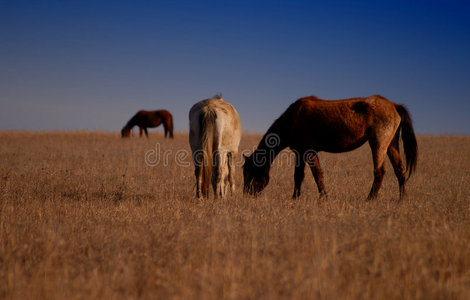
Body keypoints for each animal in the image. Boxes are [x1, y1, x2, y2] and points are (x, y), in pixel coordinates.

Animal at [244, 95, 416, 200]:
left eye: (251, 171)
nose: (247, 193)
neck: (293, 118)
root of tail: (394, 105)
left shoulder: (308, 152)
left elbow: (313, 175)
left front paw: (319, 198)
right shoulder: (301, 153)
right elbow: (305, 176)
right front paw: (301, 198)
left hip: (378, 144)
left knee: (379, 172)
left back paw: (370, 200)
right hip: (391, 145)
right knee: (399, 171)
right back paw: (401, 199)